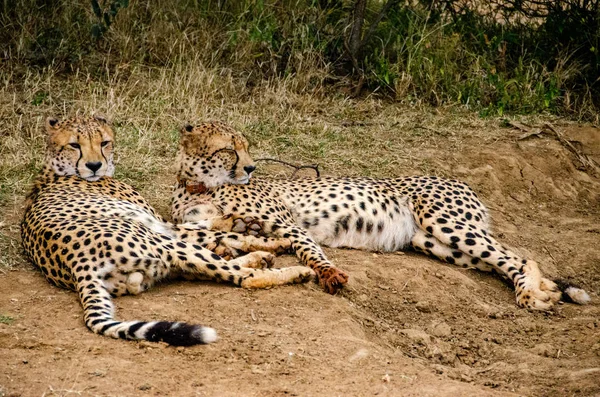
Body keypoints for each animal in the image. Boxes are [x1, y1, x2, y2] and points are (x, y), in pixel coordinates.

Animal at [22, 117, 314, 344]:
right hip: (162, 244)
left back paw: (258, 257)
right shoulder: (157, 223)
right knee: (243, 277)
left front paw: (238, 223)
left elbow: (204, 226)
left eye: (104, 142)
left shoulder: (161, 222)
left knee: (215, 268)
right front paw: (263, 238)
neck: (56, 172)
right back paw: (291, 268)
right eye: (74, 145)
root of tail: (77, 265)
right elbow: (213, 232)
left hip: (157, 264)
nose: (95, 166)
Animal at [170, 121, 592, 310]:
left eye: (246, 147)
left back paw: (531, 295)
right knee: (503, 261)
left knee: (520, 256)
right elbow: (207, 230)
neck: (201, 186)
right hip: (435, 243)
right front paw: (232, 236)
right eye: (229, 149)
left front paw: (330, 274)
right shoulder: (191, 224)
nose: (251, 168)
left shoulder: (289, 223)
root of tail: (457, 179)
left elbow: (310, 251)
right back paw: (546, 289)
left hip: (446, 223)